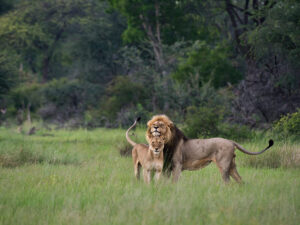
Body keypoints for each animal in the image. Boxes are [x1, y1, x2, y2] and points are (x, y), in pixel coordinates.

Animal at [146, 114, 274, 183]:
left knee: (228, 182)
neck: (165, 142)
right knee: (240, 180)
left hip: (223, 165)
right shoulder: (166, 166)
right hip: (232, 166)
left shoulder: (177, 166)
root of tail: (231, 141)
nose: (155, 127)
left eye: (161, 124)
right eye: (154, 124)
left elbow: (174, 182)